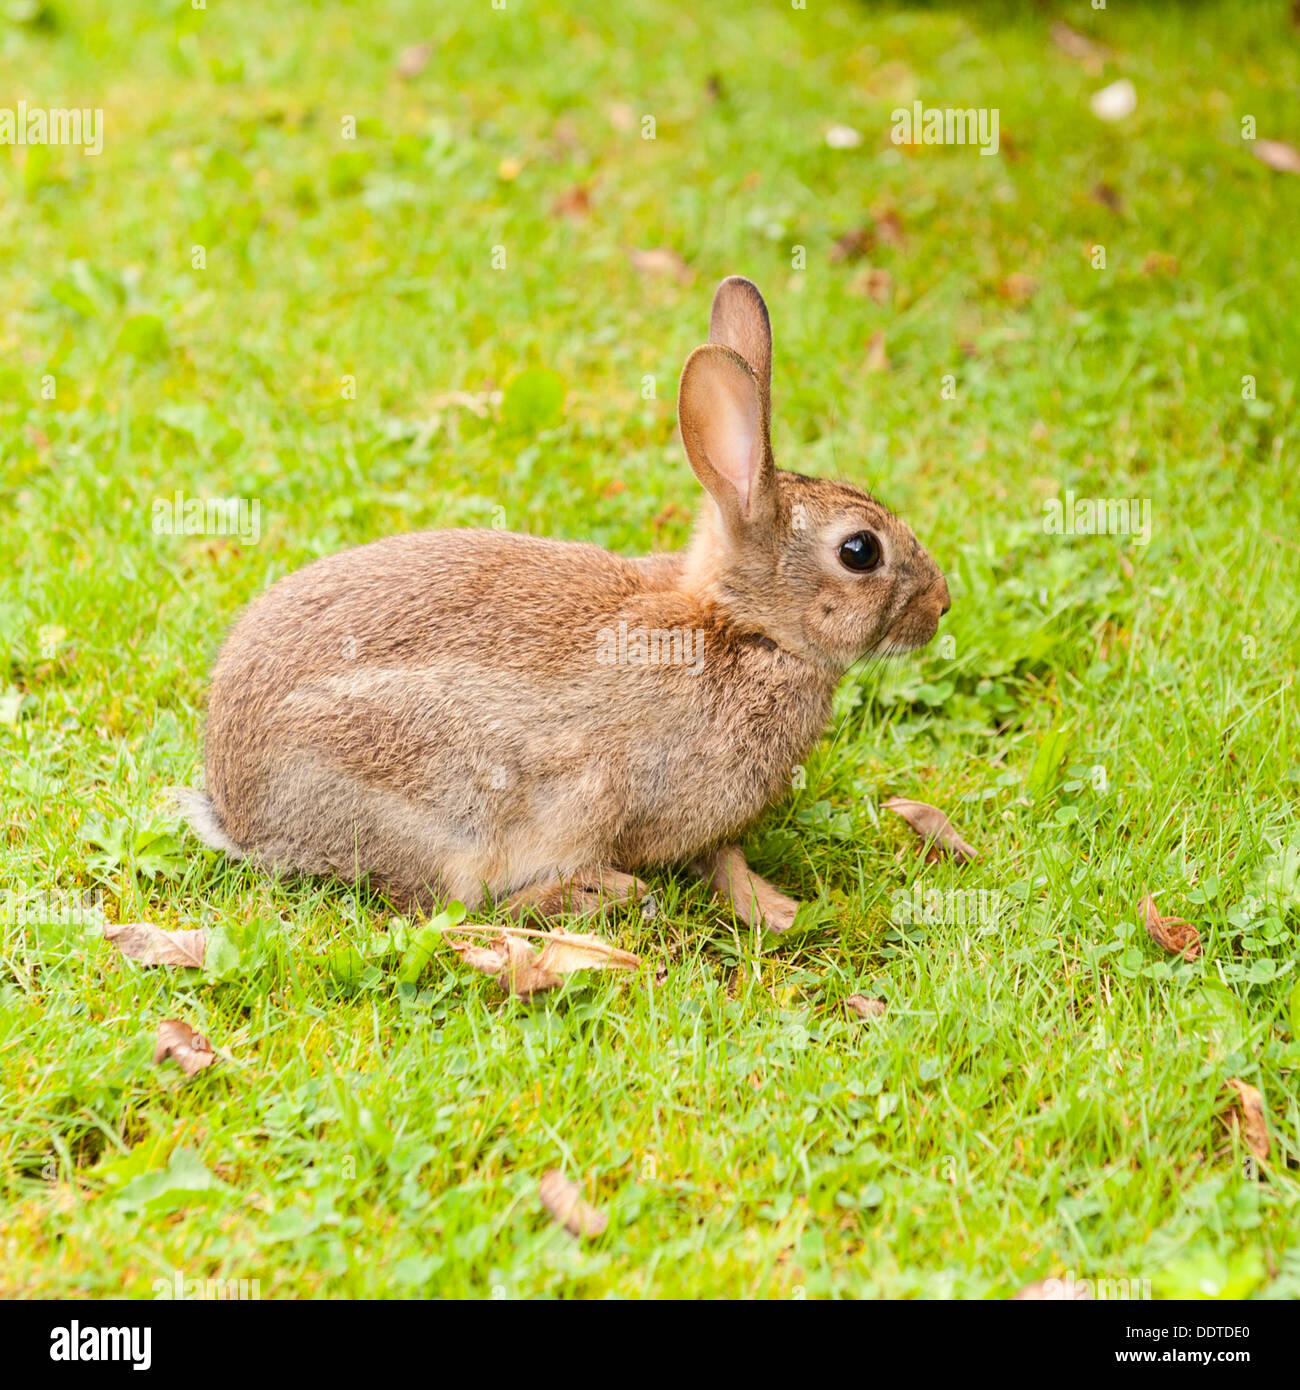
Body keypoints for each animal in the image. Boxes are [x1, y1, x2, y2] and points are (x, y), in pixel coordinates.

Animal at [177, 275, 951, 928]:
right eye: (860, 552)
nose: (942, 605)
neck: (745, 628)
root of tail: (239, 810)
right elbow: (716, 859)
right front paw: (778, 910)